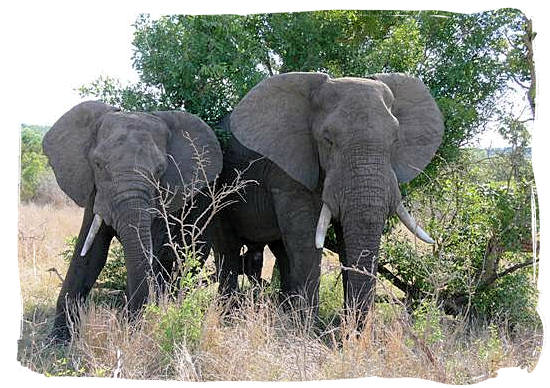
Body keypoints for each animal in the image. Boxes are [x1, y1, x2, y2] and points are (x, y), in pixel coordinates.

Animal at [44, 101, 223, 342]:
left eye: (160, 170)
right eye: (98, 164)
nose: (128, 326)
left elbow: (153, 253)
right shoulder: (95, 190)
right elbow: (90, 253)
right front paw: (59, 341)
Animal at [213, 71, 446, 320]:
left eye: (395, 140)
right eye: (328, 140)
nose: (352, 328)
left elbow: (343, 242)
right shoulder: (287, 171)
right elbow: (307, 242)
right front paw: (306, 327)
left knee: (281, 252)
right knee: (228, 250)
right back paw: (228, 315)